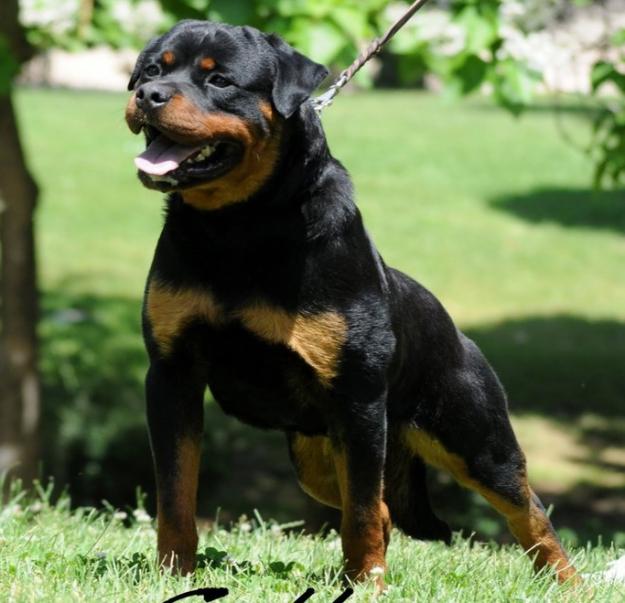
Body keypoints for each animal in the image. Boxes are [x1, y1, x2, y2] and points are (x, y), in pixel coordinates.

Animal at [124, 20, 576, 588]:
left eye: (220, 80)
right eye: (151, 70)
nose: (149, 95)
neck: (239, 227)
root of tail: (457, 331)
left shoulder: (356, 396)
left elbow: (358, 514)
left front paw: (367, 588)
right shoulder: (172, 374)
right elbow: (176, 493)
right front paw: (172, 573)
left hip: (472, 437)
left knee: (526, 509)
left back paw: (568, 583)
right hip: (315, 454)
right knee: (381, 505)